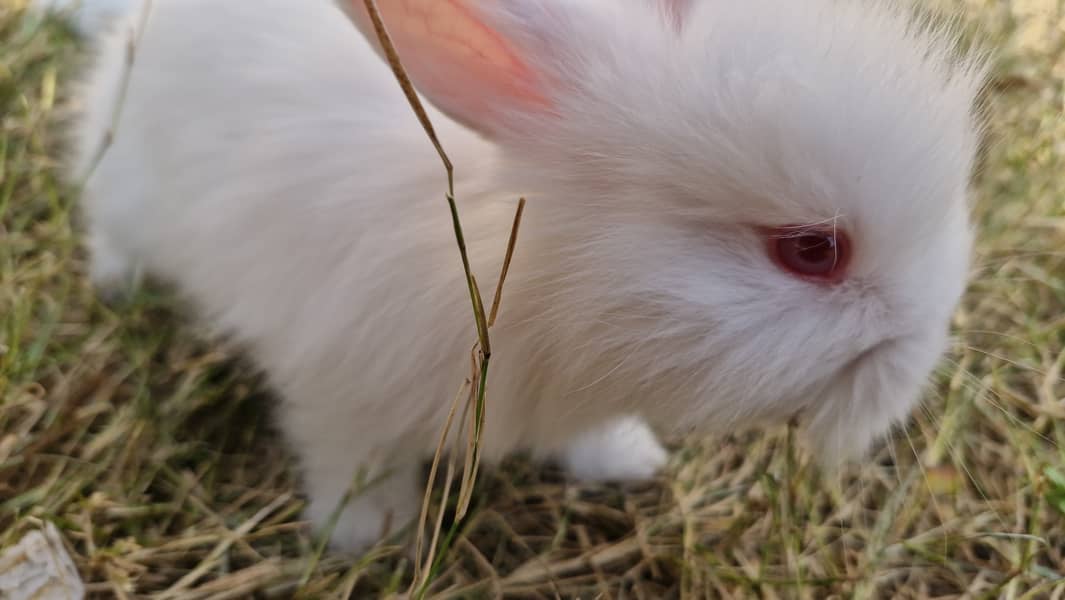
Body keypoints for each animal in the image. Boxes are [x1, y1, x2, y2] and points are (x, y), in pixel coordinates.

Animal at [58, 0, 984, 554]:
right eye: (810, 250)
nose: (923, 346)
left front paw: (625, 460)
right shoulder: (338, 371)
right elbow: (347, 450)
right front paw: (369, 532)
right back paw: (116, 282)